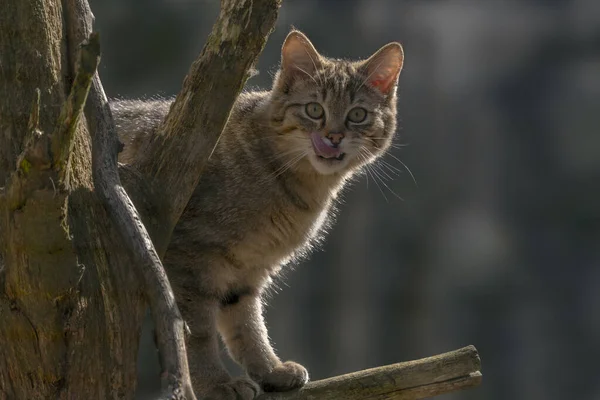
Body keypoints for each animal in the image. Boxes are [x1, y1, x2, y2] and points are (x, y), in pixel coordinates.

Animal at [112, 29, 404, 398]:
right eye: (314, 109)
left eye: (357, 115)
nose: (333, 137)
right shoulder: (186, 258)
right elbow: (197, 330)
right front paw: (216, 383)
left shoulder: (249, 268)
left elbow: (247, 323)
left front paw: (269, 369)